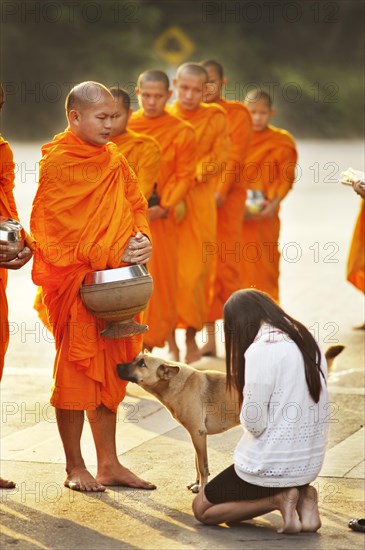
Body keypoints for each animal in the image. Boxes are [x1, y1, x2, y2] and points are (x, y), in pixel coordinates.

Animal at [117, 348, 344, 494]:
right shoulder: (197, 436)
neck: (176, 382)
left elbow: (203, 465)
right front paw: (196, 483)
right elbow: (197, 462)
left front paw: (202, 487)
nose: (117, 365)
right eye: (136, 358)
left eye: (142, 364)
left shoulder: (198, 434)